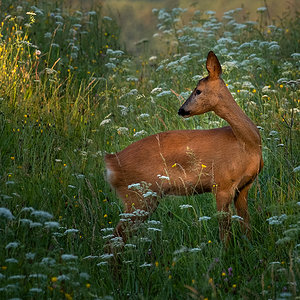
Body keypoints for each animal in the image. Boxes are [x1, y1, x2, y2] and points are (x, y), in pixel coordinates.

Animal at [105, 50, 262, 245]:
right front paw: (226, 251)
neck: (246, 143)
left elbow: (246, 225)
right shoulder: (221, 185)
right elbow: (224, 232)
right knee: (114, 239)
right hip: (138, 195)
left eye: (198, 90)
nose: (181, 110)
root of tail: (111, 161)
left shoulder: (244, 186)